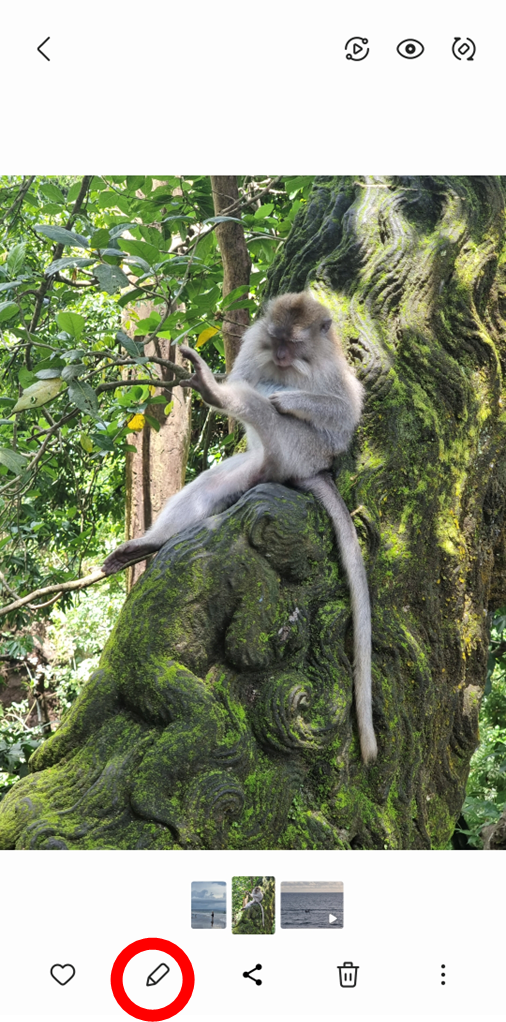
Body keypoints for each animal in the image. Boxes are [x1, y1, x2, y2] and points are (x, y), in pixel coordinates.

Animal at [102, 293, 377, 764]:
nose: (281, 357)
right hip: (261, 466)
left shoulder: (330, 370)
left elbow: (342, 414)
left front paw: (287, 396)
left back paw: (220, 392)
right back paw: (149, 543)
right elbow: (251, 377)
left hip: (297, 450)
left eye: (294, 344)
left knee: (270, 413)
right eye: (276, 339)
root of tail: (305, 472)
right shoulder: (252, 346)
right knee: (215, 481)